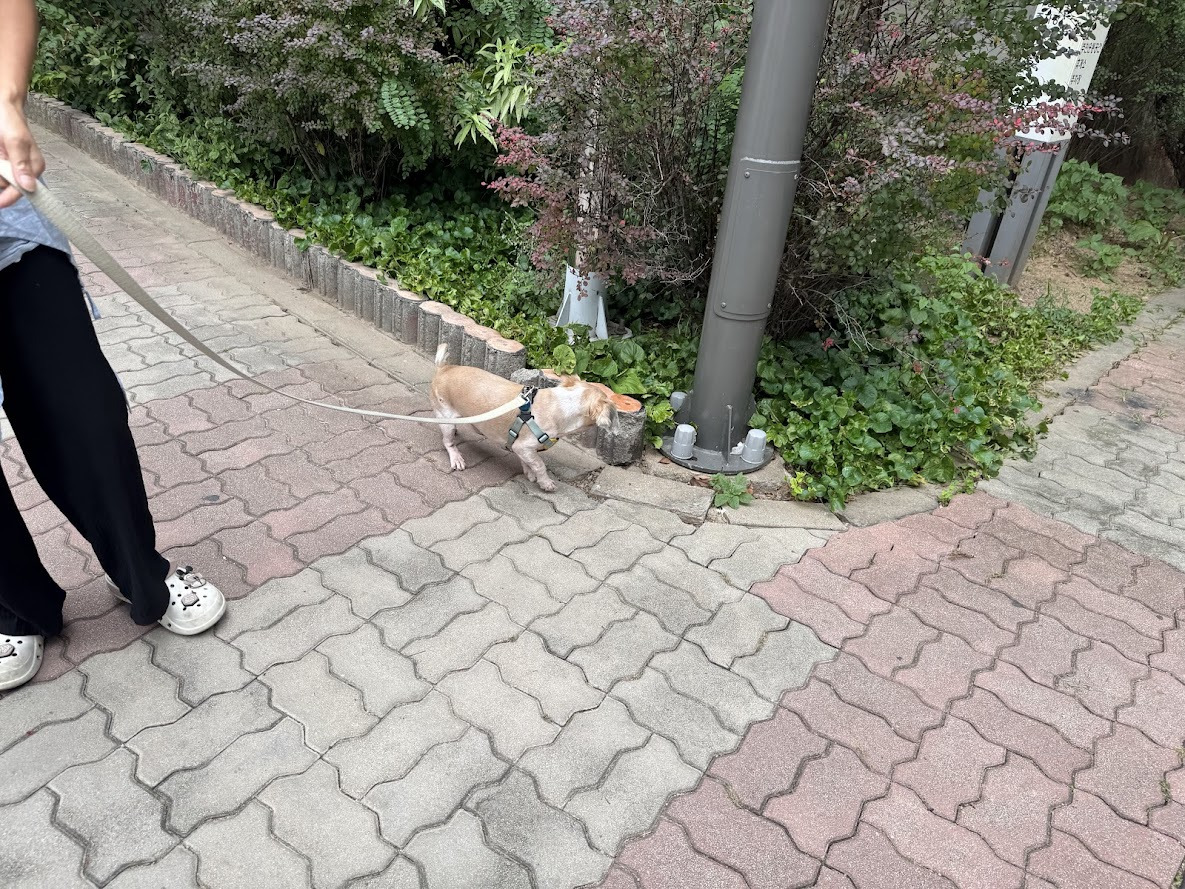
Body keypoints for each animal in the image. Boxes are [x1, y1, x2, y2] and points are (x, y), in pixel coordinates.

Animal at [430, 345, 619, 491]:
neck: (562, 404)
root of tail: (443, 368)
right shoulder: (523, 447)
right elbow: (540, 464)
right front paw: (545, 482)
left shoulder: (522, 449)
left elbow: (529, 462)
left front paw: (529, 473)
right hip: (445, 418)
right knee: (448, 442)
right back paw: (456, 458)